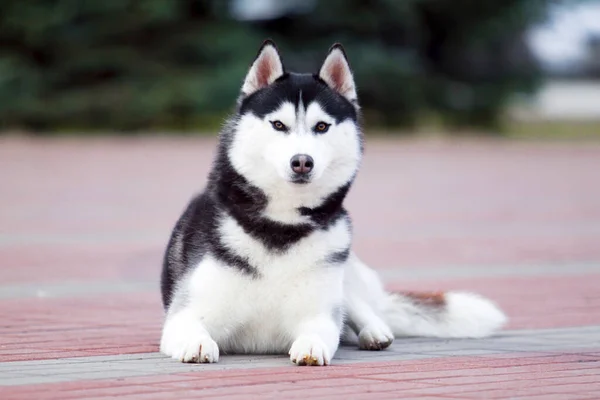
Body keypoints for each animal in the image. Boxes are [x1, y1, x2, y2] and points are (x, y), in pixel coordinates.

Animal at [159, 39, 506, 366]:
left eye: (321, 126)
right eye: (279, 125)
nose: (302, 161)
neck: (283, 225)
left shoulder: (320, 312)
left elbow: (321, 329)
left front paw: (312, 346)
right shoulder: (185, 313)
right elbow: (190, 328)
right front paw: (198, 343)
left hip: (344, 273)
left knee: (357, 306)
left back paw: (375, 331)